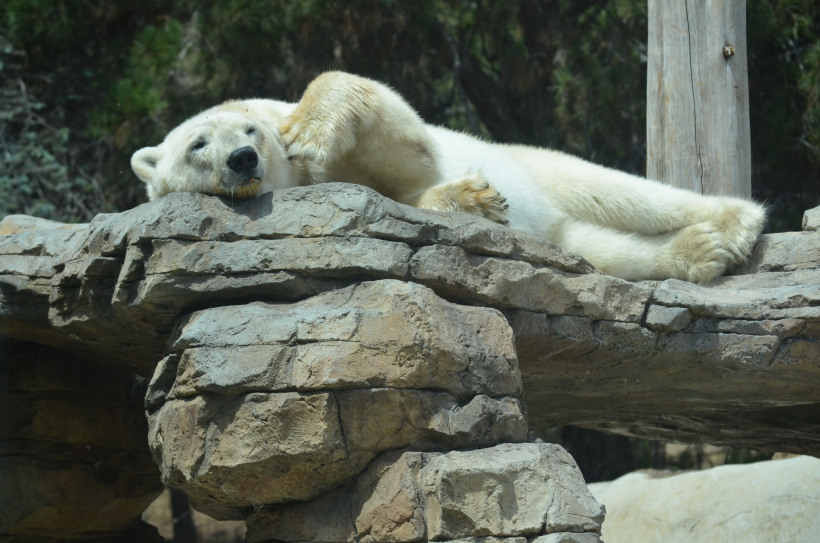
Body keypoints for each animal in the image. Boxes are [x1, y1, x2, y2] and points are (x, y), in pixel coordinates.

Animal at [131, 70, 764, 282]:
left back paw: (735, 222)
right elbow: (407, 196)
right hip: (560, 227)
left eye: (250, 132)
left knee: (614, 191)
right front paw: (474, 200)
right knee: (599, 247)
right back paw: (698, 252)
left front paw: (310, 130)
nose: (242, 159)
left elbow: (403, 137)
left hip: (539, 165)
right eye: (197, 145)